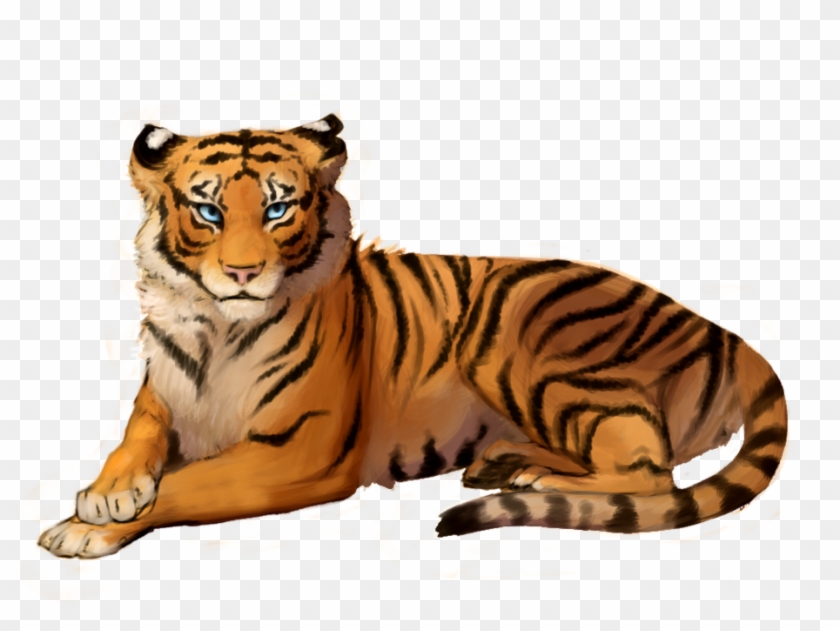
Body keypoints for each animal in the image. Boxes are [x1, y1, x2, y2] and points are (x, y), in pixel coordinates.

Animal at [38, 114, 787, 559]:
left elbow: (186, 484)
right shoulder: (160, 399)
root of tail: (720, 329)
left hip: (518, 341)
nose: (245, 272)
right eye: (209, 209)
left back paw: (532, 473)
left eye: (279, 208)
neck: (215, 326)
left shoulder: (302, 448)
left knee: (649, 471)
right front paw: (108, 491)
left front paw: (83, 525)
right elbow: (134, 445)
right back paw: (505, 461)